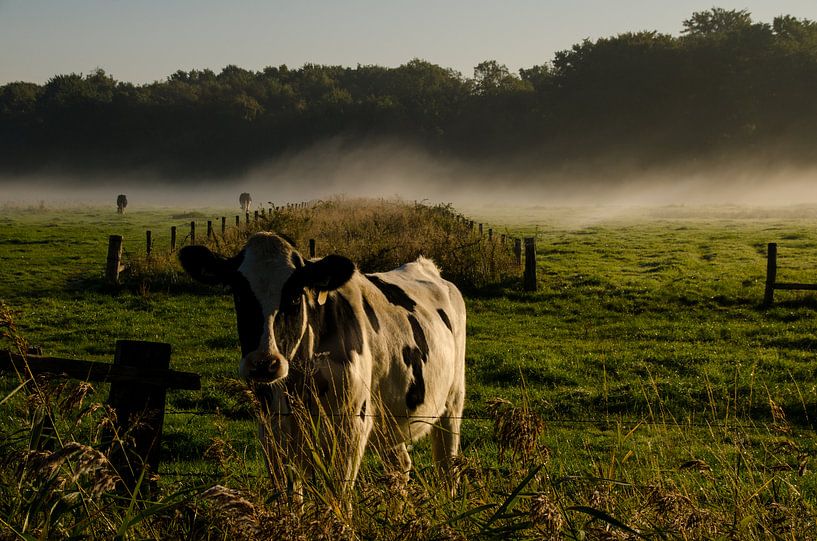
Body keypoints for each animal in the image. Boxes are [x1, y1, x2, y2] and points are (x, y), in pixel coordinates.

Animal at [179, 232, 466, 494]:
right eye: (239, 294)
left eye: (295, 296)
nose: (264, 363)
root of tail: (426, 266)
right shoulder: (272, 432)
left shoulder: (351, 428)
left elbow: (338, 497)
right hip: (390, 418)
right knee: (399, 469)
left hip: (453, 401)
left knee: (446, 468)